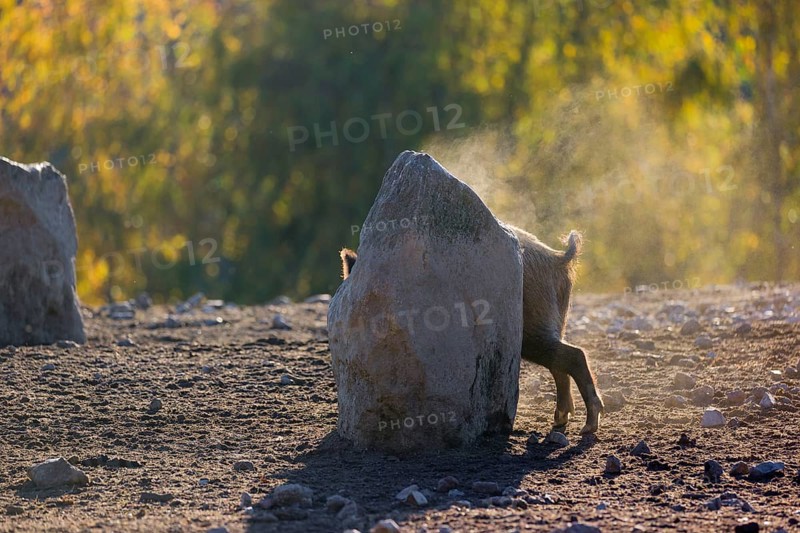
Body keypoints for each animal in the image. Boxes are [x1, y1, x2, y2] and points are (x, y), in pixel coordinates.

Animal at [338, 227, 604, 434]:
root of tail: (556, 258)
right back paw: (559, 422)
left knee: (574, 355)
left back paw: (587, 427)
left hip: (533, 325)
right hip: (554, 321)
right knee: (560, 362)